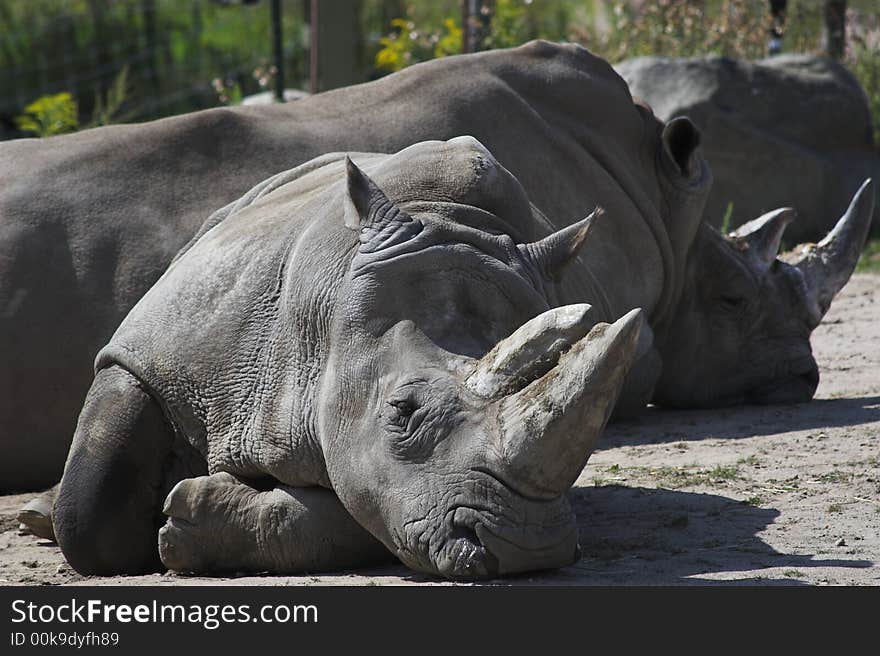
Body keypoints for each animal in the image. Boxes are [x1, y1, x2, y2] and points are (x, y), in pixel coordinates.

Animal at [56, 136, 648, 576]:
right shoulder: (156, 352)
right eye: (402, 413)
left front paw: (190, 520)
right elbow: (88, 515)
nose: (525, 549)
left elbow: (363, 510)